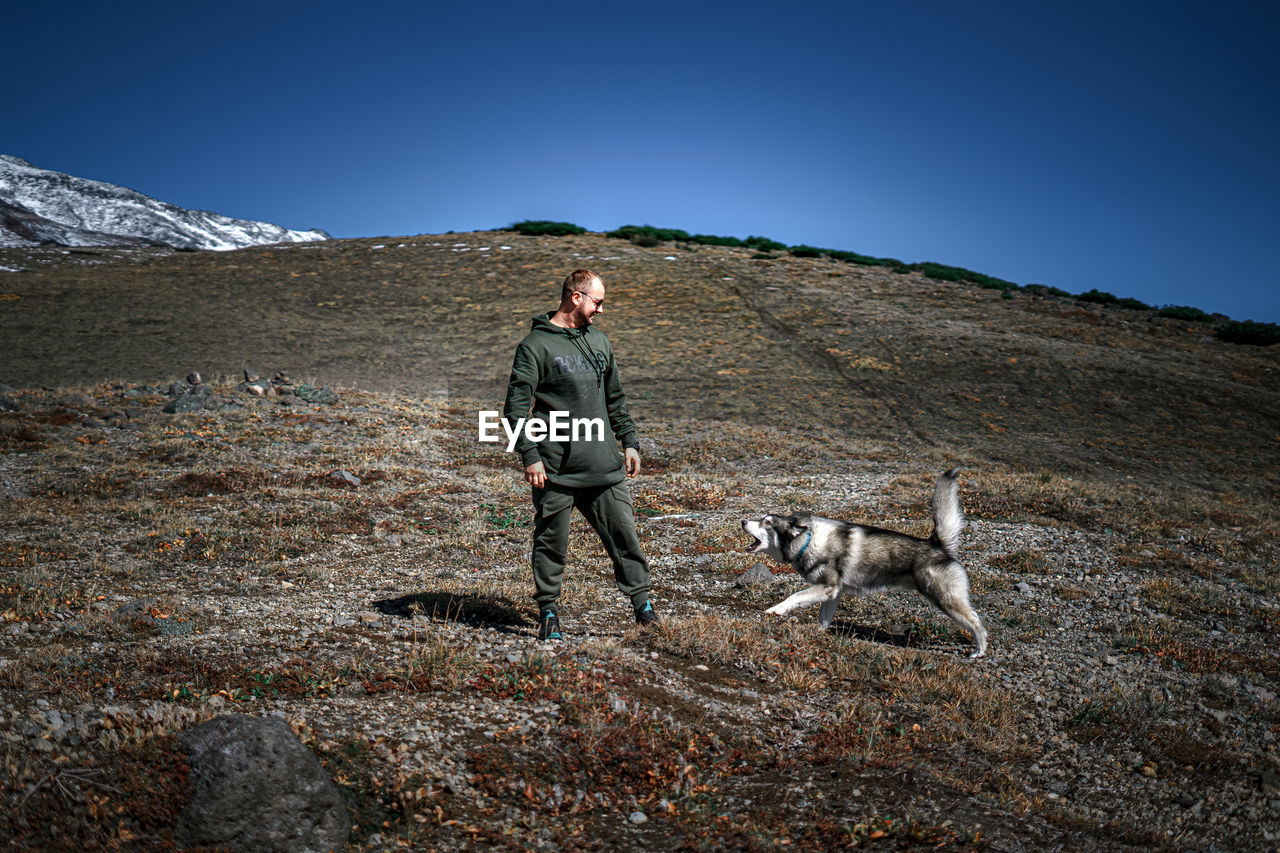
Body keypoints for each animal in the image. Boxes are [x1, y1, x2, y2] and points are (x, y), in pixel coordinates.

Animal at [742, 466, 988, 655]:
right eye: (761, 519)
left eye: (767, 523)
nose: (743, 521)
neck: (809, 541)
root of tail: (938, 544)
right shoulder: (833, 593)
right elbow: (823, 618)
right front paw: (818, 633)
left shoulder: (826, 587)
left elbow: (794, 597)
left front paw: (776, 610)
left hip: (946, 599)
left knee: (977, 623)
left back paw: (979, 651)